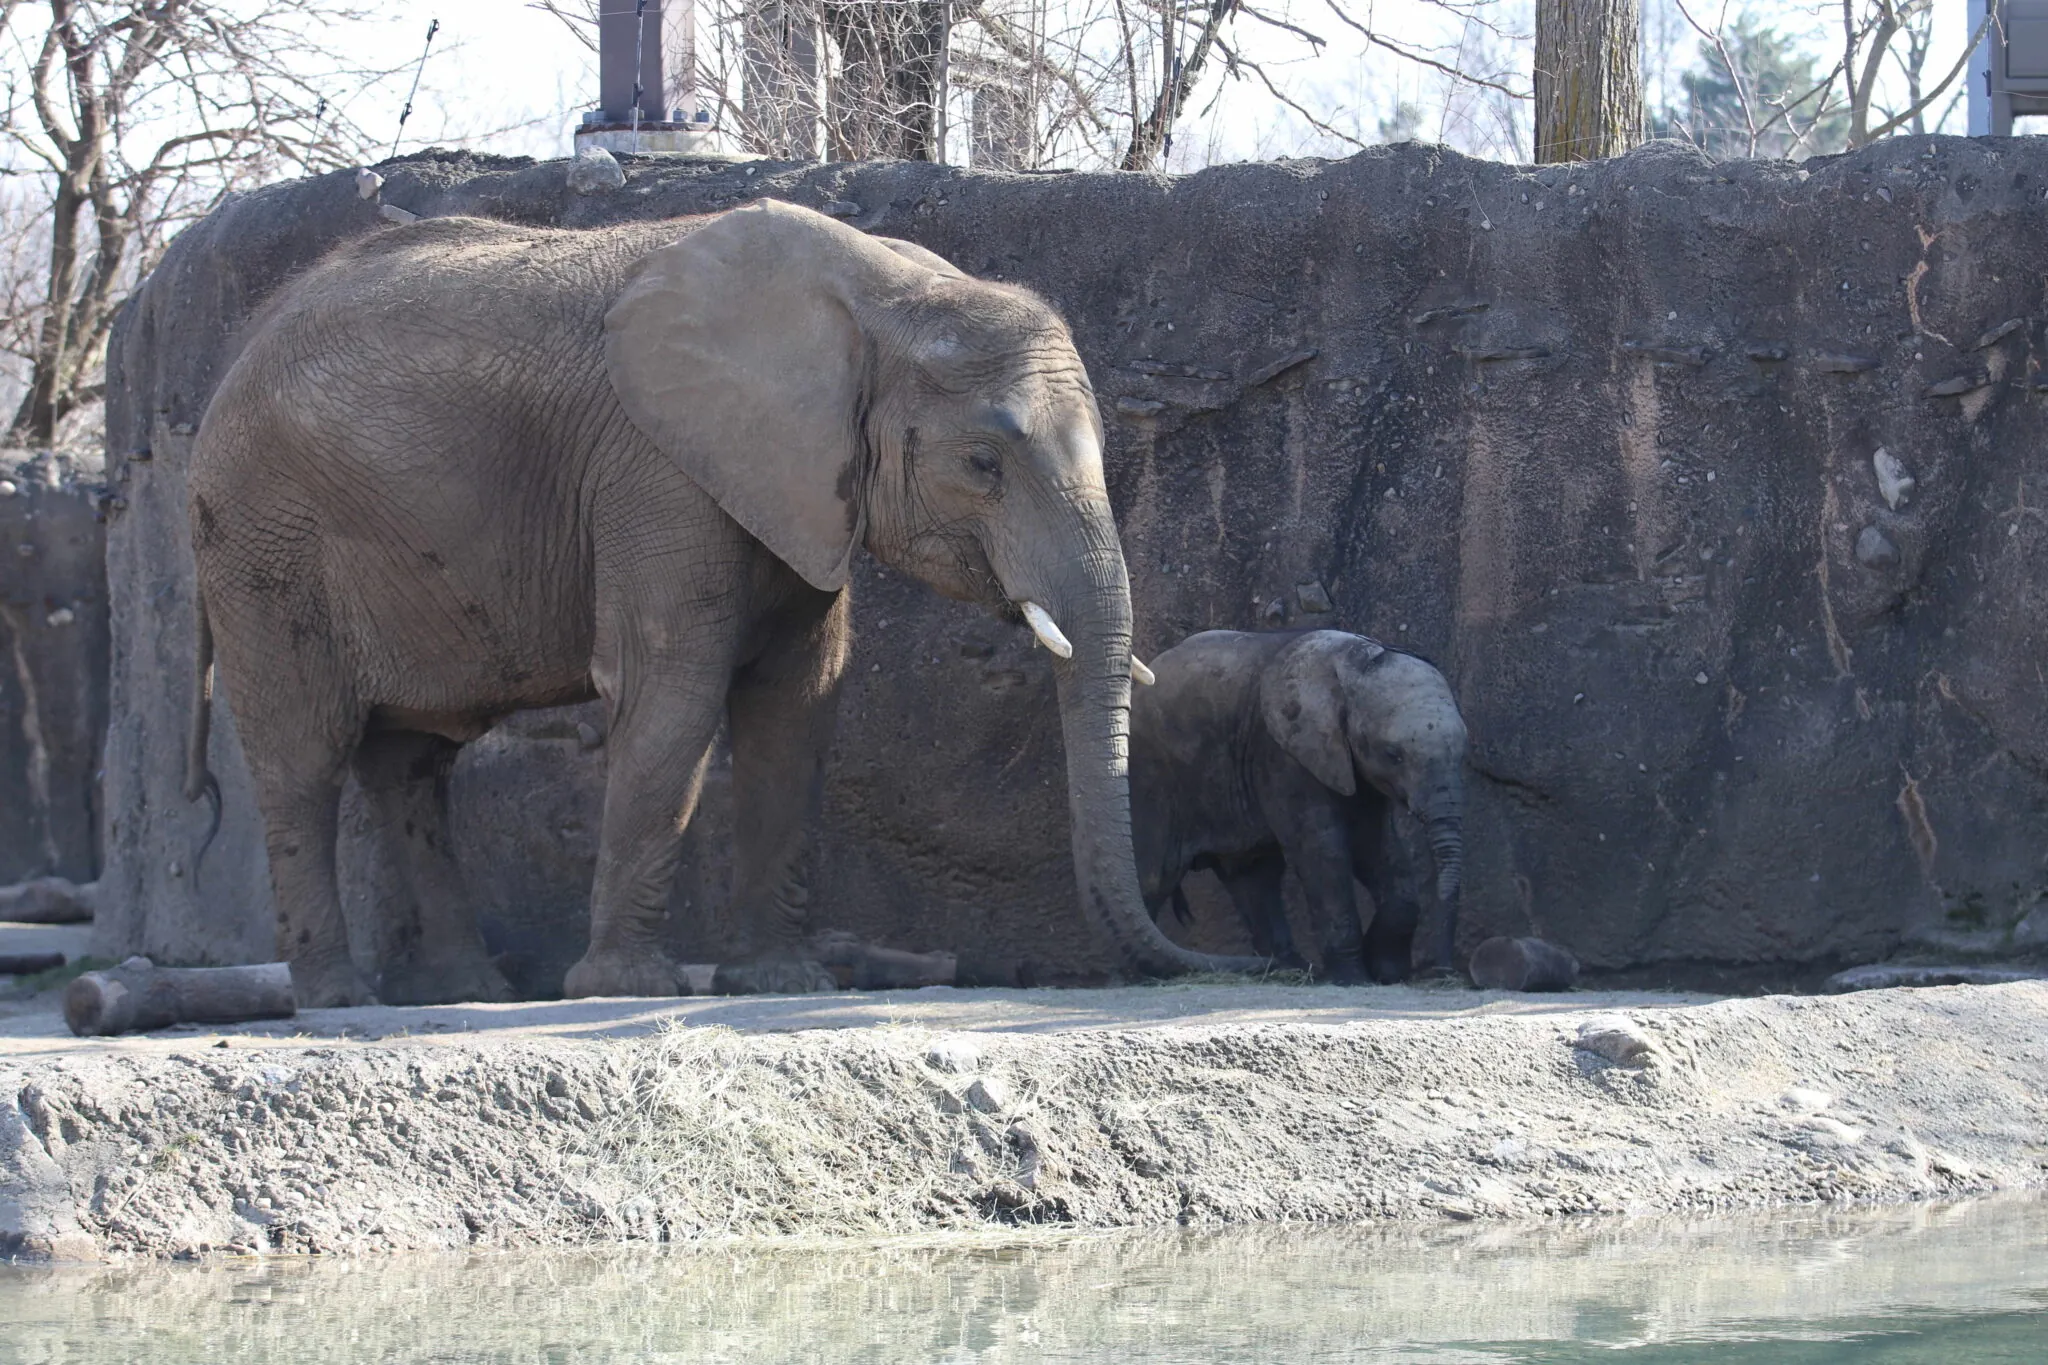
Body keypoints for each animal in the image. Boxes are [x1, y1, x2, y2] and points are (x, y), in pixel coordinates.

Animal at [184, 205, 1253, 1015]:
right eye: (984, 465)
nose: (1235, 953)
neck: (881, 293)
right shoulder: (660, 470)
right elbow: (673, 684)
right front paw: (622, 989)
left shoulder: (794, 483)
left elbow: (798, 697)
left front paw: (781, 982)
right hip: (262, 539)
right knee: (303, 756)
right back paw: (342, 999)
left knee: (410, 763)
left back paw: (462, 992)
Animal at [1130, 630, 1466, 982]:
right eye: (1393, 755)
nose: (1440, 969)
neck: (1356, 658)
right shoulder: (1283, 755)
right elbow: (1324, 849)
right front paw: (1352, 978)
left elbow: (1377, 847)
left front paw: (1388, 973)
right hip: (1153, 776)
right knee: (1154, 874)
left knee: (1254, 877)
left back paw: (1287, 969)